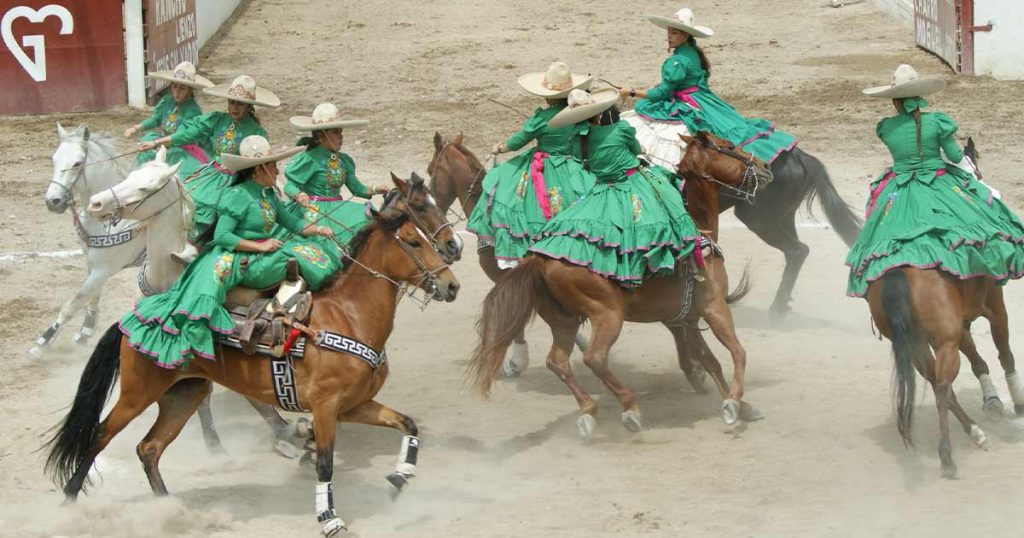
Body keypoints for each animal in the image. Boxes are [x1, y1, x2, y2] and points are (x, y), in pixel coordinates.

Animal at [44, 188, 460, 532]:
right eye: (412, 241)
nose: (452, 284)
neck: (348, 317)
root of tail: (131, 318)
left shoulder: (355, 404)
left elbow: (407, 424)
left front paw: (400, 477)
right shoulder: (326, 407)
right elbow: (325, 463)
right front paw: (330, 518)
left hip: (185, 394)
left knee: (149, 448)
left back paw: (171, 510)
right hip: (137, 393)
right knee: (100, 436)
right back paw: (69, 504)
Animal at [468, 131, 765, 436]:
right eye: (729, 146)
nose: (764, 167)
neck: (699, 226)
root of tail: (538, 258)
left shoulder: (686, 318)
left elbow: (711, 362)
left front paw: (741, 405)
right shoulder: (714, 308)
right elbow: (738, 352)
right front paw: (734, 403)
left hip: (564, 319)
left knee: (558, 361)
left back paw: (589, 411)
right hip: (607, 314)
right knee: (595, 358)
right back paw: (630, 408)